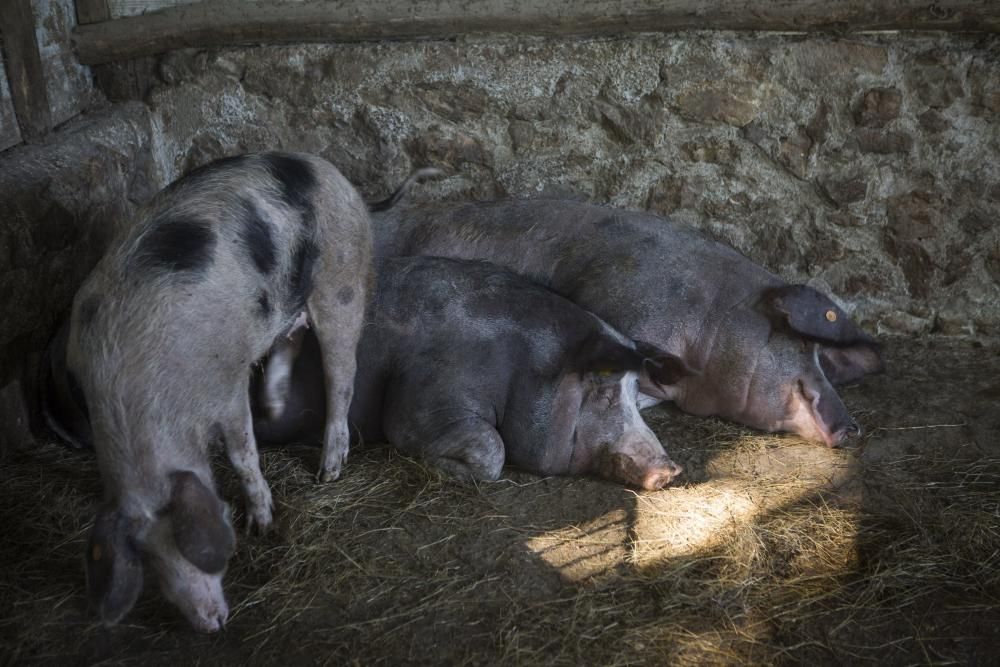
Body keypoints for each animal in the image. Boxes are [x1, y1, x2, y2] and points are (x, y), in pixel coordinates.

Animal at [64, 154, 374, 636]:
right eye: (150, 560)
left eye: (185, 544)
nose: (210, 624)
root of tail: (325, 169)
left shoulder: (225, 384)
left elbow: (242, 454)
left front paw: (262, 525)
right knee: (289, 338)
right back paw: (273, 407)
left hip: (342, 282)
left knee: (342, 375)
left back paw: (329, 472)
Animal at [254, 258, 692, 490]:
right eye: (604, 393)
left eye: (636, 394)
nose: (672, 469)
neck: (526, 366)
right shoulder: (424, 396)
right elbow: (491, 450)